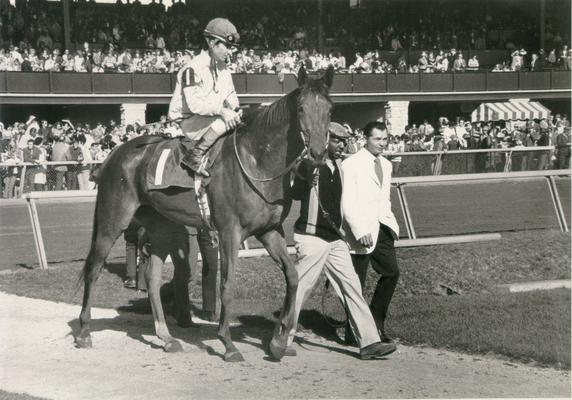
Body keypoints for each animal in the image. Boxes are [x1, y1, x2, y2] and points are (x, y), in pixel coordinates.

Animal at [76, 65, 336, 362]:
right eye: (302, 108)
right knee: (94, 268)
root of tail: (115, 153)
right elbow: (228, 283)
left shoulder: (269, 231)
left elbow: (293, 277)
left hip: (161, 227)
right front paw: (228, 343)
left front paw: (279, 341)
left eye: (330, 109)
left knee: (152, 278)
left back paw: (166, 337)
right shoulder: (229, 232)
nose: (317, 154)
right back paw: (84, 332)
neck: (256, 160)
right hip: (112, 221)